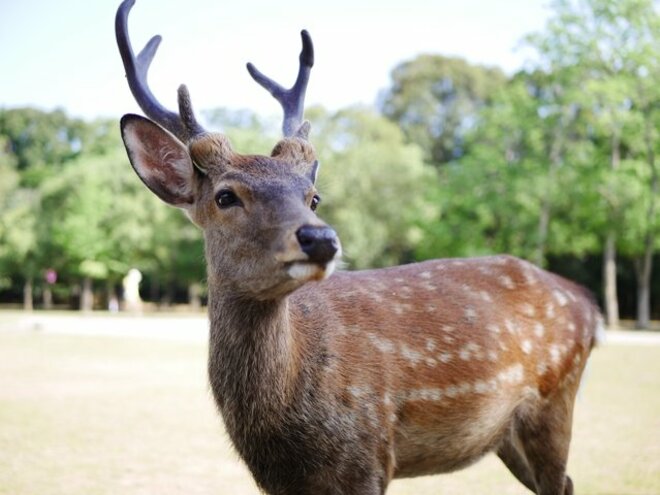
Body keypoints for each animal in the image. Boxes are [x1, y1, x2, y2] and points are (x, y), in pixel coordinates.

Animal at [114, 1, 604, 494]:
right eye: (225, 196)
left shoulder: (368, 455)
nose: (321, 238)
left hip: (554, 402)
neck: (277, 428)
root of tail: (588, 304)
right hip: (508, 433)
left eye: (313, 197)